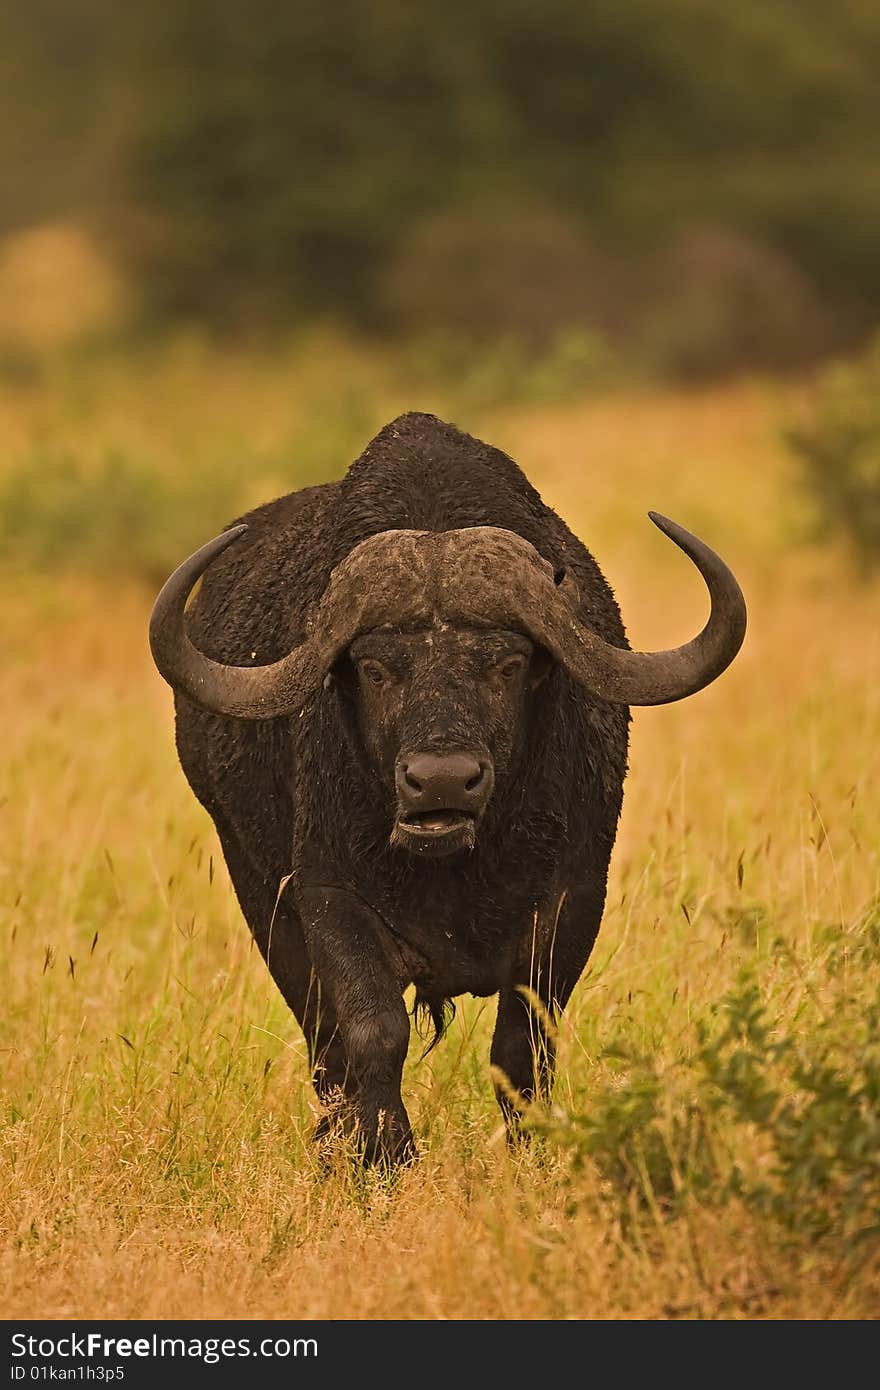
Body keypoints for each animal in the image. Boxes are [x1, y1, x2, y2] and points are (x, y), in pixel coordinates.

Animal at [149, 411, 739, 1162]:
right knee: (323, 1044)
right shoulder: (327, 896)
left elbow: (522, 1044)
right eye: (375, 669)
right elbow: (373, 1031)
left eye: (508, 664)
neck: (460, 868)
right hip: (258, 893)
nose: (440, 782)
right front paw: (384, 1155)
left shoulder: (572, 900)